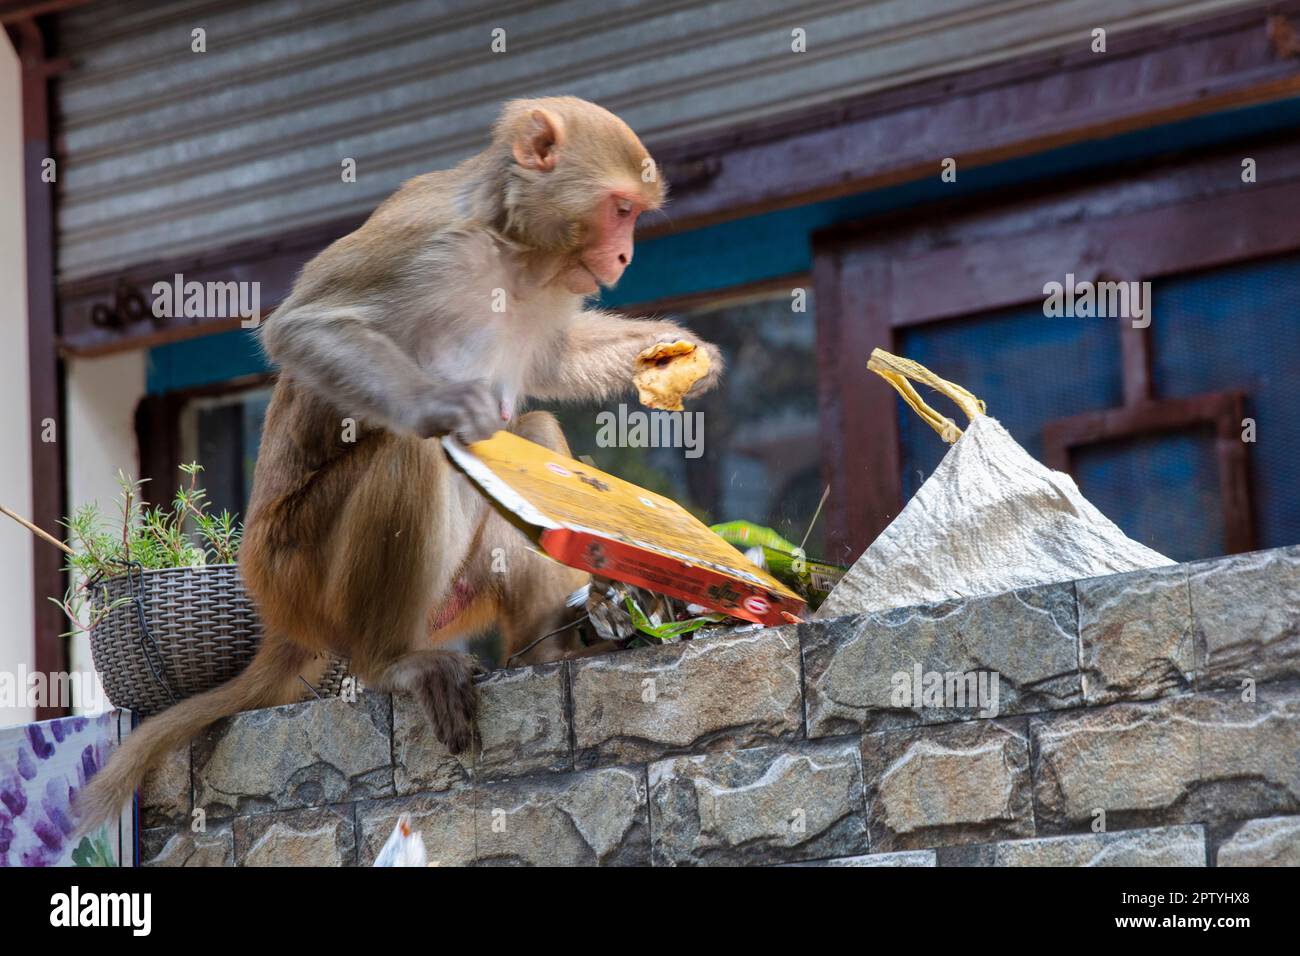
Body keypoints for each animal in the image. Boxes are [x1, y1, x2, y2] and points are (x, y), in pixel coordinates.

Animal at [76, 93, 728, 832]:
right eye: (621, 209)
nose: (624, 253)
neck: (512, 250)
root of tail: (277, 612)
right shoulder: (428, 242)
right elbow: (304, 327)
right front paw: (445, 404)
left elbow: (551, 361)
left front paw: (680, 353)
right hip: (302, 574)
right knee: (412, 454)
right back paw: (391, 662)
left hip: (450, 599)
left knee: (530, 431)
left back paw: (552, 645)